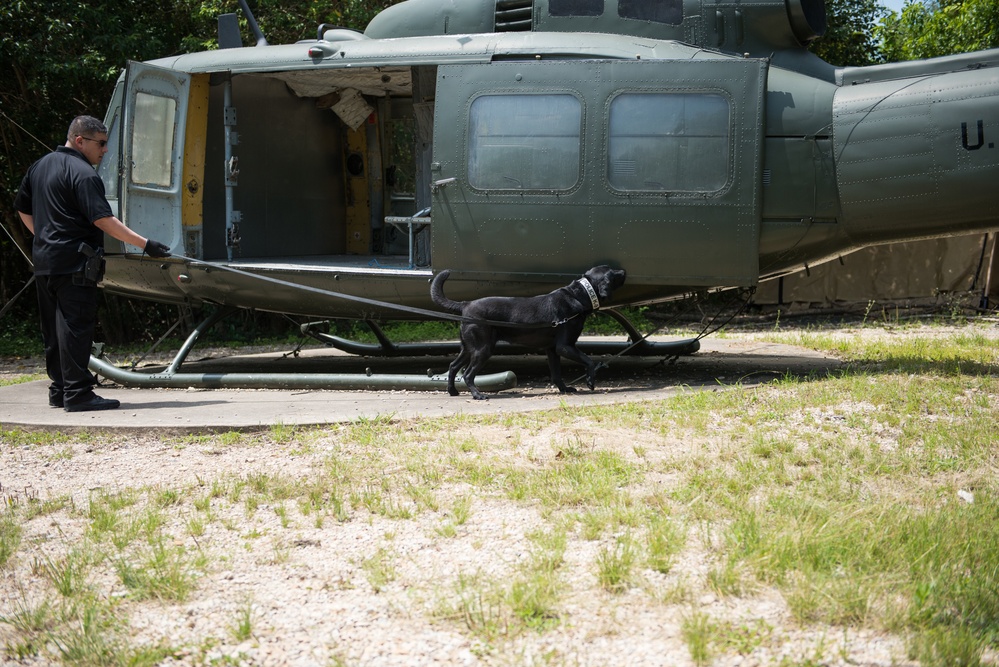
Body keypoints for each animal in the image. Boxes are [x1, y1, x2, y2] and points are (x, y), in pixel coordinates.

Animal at [430, 266, 624, 402]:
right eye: (612, 273)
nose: (623, 270)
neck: (579, 295)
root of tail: (465, 304)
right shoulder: (565, 346)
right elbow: (589, 361)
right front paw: (590, 382)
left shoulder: (552, 349)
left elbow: (556, 373)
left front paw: (564, 389)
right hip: (483, 349)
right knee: (468, 374)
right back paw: (478, 395)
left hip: (469, 348)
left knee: (453, 366)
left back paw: (453, 391)